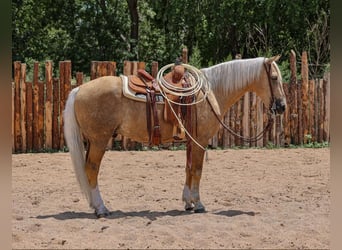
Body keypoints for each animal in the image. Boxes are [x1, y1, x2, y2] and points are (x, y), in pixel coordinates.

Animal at [63, 55, 286, 217]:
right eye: (274, 78)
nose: (282, 106)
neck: (211, 92)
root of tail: (79, 89)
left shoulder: (191, 141)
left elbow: (188, 170)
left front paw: (188, 202)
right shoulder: (200, 141)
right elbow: (197, 170)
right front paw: (198, 203)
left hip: (92, 142)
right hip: (99, 141)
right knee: (92, 170)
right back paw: (101, 208)